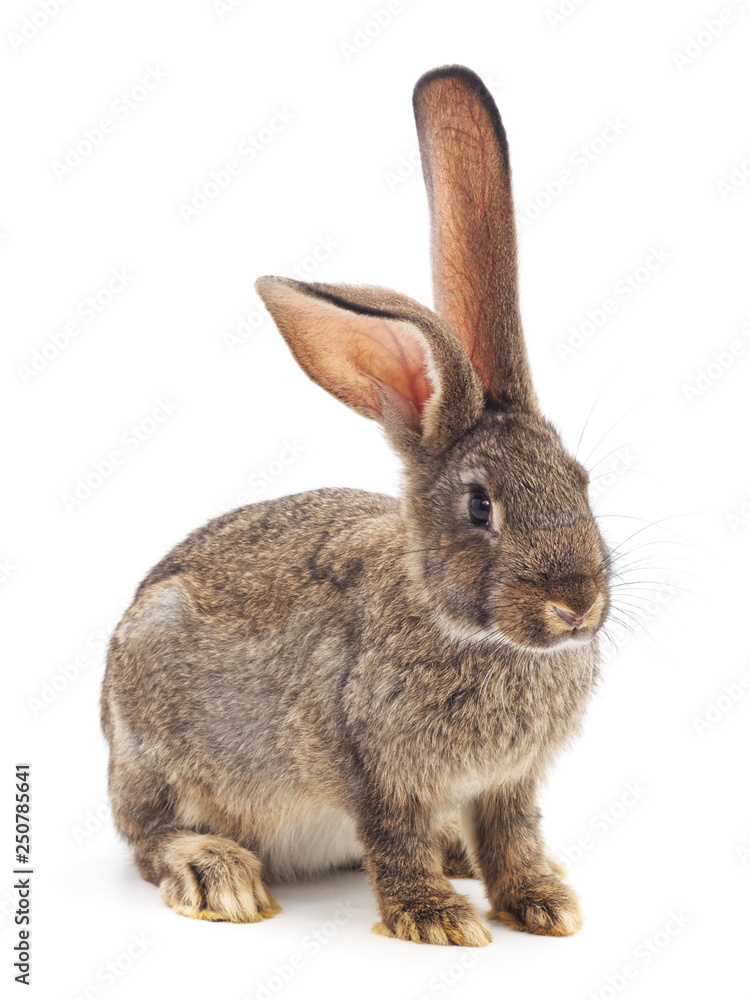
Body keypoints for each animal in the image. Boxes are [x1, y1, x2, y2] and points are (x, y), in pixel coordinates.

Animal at [101, 64, 611, 947]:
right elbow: (394, 837)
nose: (577, 604)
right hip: (156, 754)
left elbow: (512, 836)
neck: (462, 626)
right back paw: (219, 877)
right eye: (481, 507)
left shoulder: (508, 784)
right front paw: (438, 922)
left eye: (580, 482)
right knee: (150, 837)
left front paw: (544, 905)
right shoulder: (369, 766)